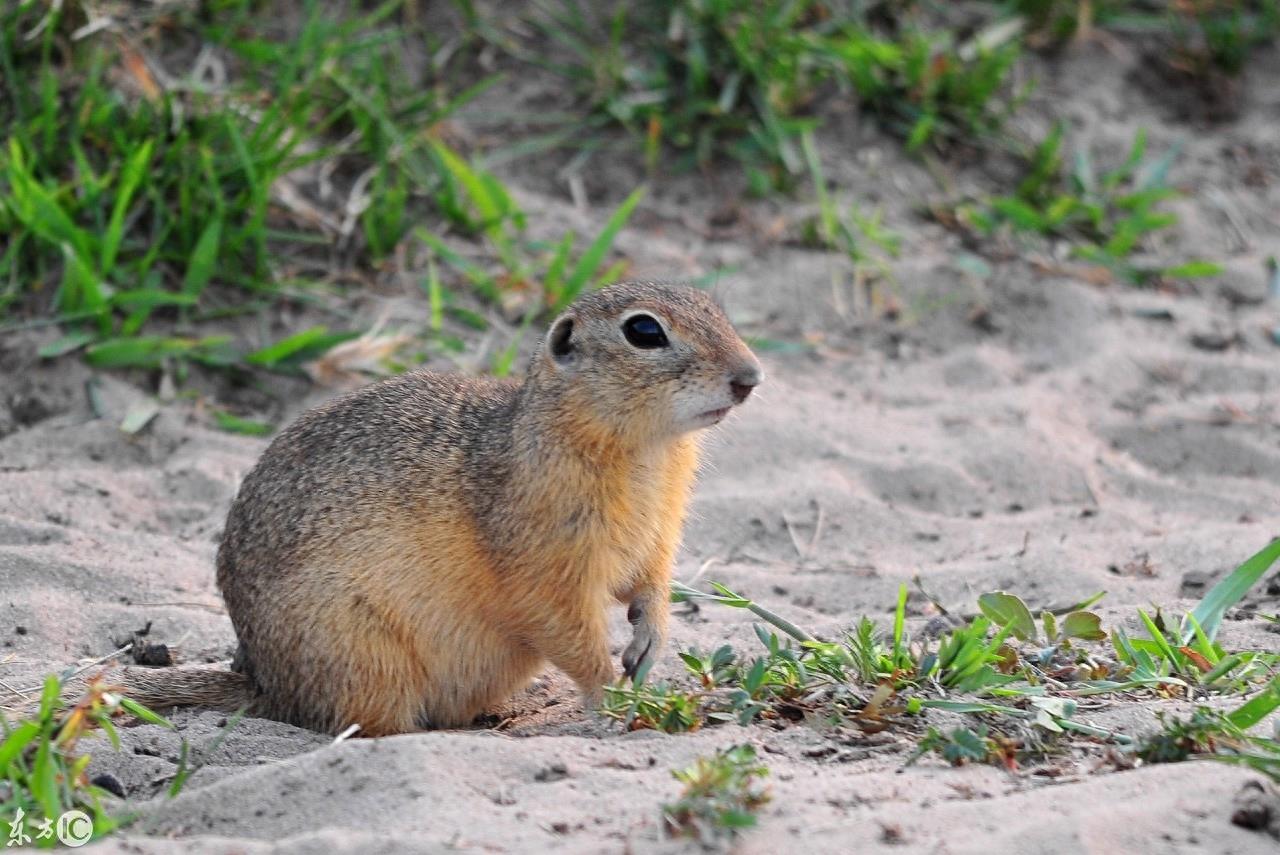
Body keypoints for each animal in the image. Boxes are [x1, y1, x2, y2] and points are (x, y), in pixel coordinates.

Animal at [120, 280, 757, 737]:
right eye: (644, 330)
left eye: (715, 307)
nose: (750, 377)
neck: (646, 451)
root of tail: (263, 683)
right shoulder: (546, 565)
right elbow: (569, 632)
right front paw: (623, 698)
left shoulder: (658, 535)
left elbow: (650, 585)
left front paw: (649, 645)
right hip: (365, 656)